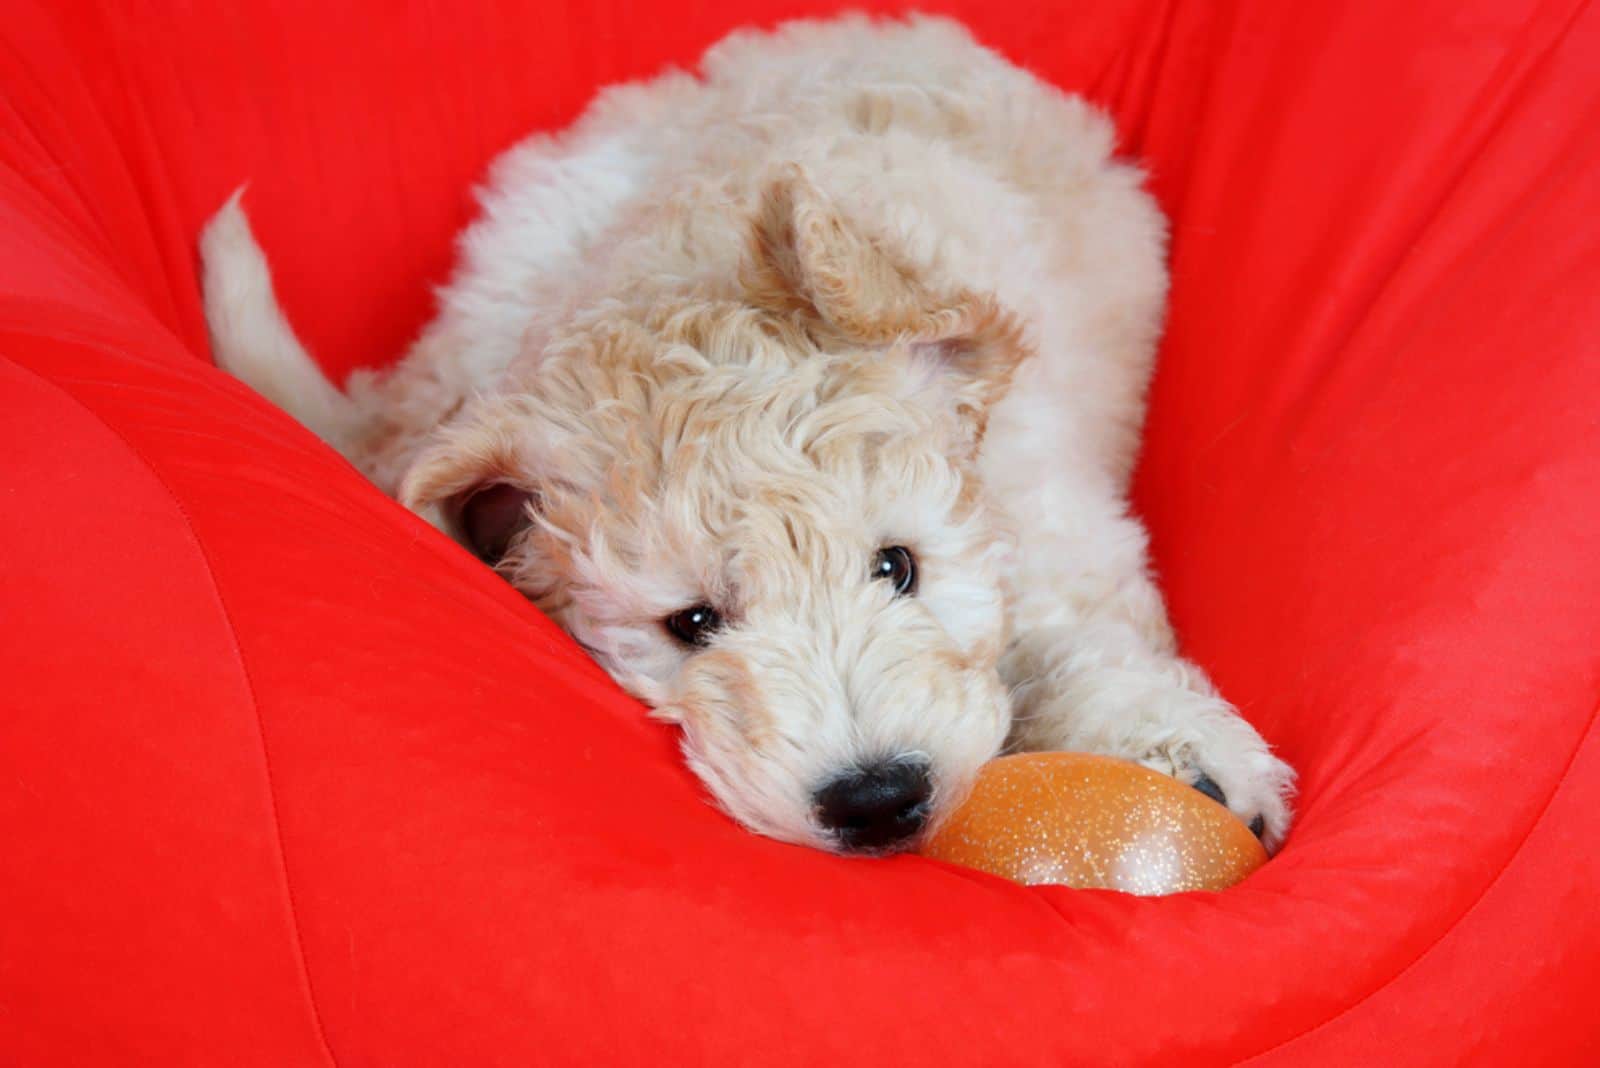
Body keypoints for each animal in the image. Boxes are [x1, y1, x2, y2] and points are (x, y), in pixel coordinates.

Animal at [203, 14, 1299, 850]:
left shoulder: (1046, 504)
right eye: (691, 625)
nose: (876, 799)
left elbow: (1084, 627)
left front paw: (1177, 750)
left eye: (897, 567)